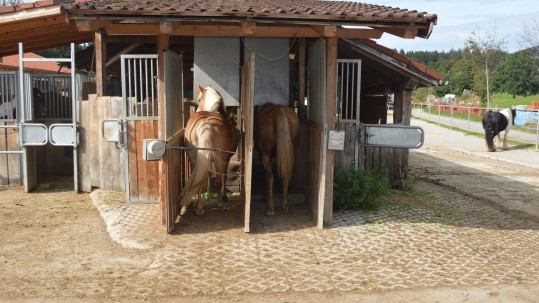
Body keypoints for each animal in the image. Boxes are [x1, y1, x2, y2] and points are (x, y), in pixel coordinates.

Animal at [179, 86, 238, 217]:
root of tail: (205, 123)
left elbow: (208, 174)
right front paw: (222, 196)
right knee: (219, 179)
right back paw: (220, 205)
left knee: (199, 179)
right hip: (219, 160)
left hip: (194, 159)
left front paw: (208, 195)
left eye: (199, 99)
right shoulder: (226, 159)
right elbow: (223, 176)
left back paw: (199, 208)